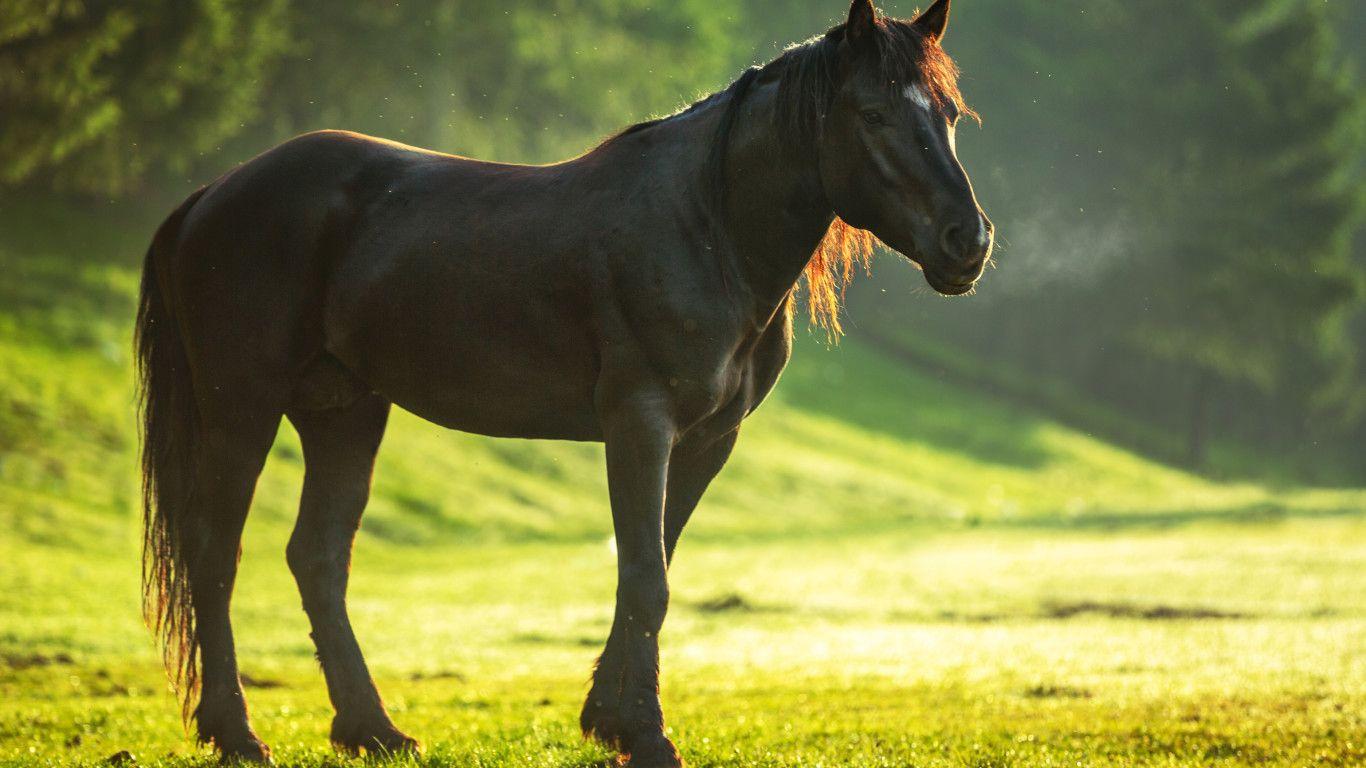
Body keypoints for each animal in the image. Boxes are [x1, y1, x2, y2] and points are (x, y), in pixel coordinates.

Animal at [135, 1, 991, 764]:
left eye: (950, 114)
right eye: (873, 114)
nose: (969, 241)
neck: (705, 227)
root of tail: (211, 196)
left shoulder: (706, 441)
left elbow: (653, 568)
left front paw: (610, 718)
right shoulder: (639, 424)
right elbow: (645, 577)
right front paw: (645, 735)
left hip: (344, 413)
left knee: (318, 558)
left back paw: (372, 731)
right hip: (242, 408)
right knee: (215, 553)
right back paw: (237, 735)